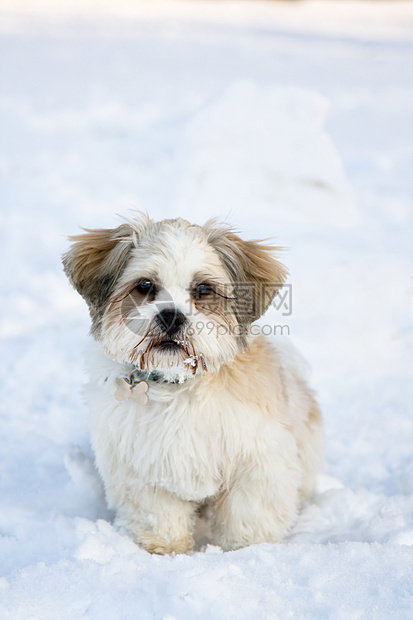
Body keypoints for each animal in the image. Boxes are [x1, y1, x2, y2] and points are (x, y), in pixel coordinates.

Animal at [63, 216, 322, 556]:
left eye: (202, 289)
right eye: (144, 286)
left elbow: (248, 513)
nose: (171, 316)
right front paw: (164, 549)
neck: (178, 385)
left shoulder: (258, 459)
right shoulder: (140, 463)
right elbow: (157, 514)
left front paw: (246, 551)